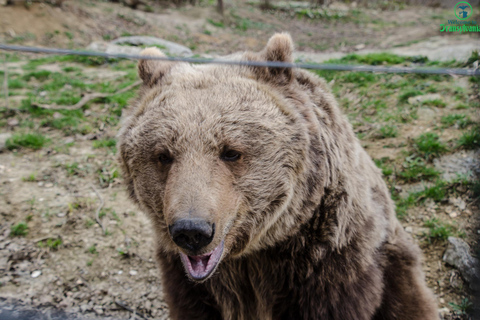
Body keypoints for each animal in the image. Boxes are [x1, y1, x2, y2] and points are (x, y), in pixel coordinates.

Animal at [117, 33, 438, 320]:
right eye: (163, 155)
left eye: (230, 151)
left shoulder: (326, 260)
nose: (192, 231)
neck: (255, 253)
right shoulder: (188, 280)